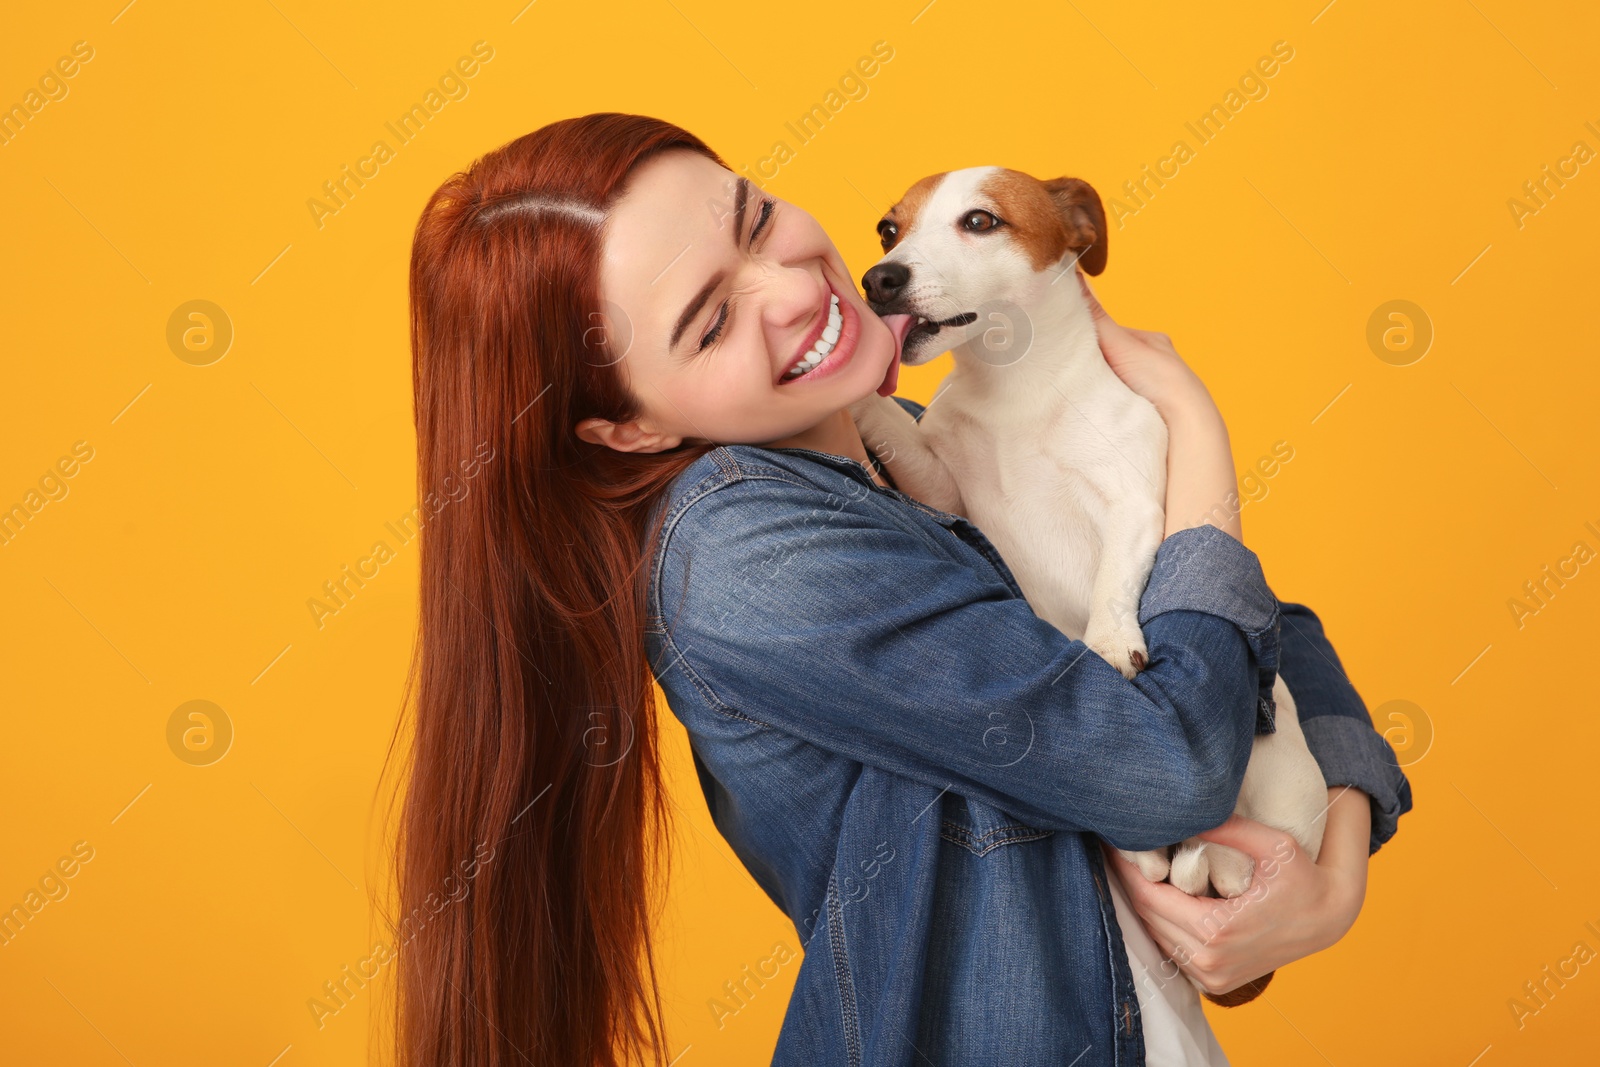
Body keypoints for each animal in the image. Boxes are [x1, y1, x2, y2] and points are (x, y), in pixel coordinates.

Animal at [851, 167, 1324, 1017]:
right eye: (888, 229)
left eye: (981, 221)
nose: (879, 279)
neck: (1014, 389)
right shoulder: (943, 482)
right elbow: (899, 433)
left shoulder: (1132, 500)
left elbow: (1114, 577)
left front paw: (1108, 640)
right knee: (1159, 860)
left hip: (1280, 789)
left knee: (1235, 859)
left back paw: (1211, 855)